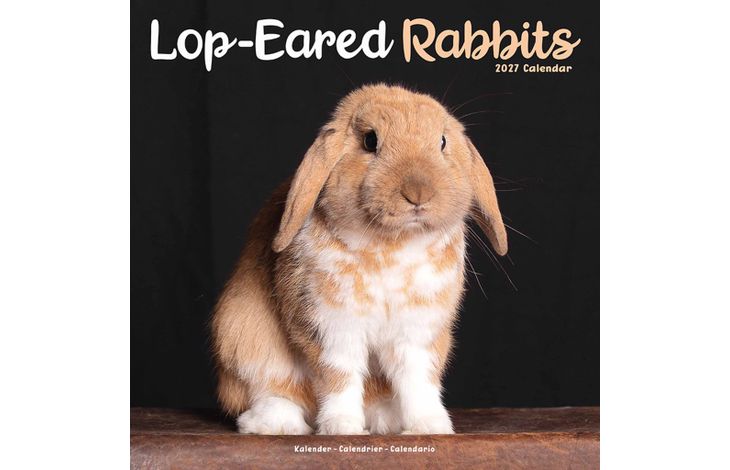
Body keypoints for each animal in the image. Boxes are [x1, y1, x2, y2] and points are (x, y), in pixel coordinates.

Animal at [211, 84, 507, 435]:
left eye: (443, 142)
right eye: (370, 141)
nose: (418, 194)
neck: (392, 244)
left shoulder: (419, 334)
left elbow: (419, 381)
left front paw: (430, 426)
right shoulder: (331, 327)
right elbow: (339, 376)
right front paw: (342, 427)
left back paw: (387, 419)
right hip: (243, 338)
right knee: (275, 390)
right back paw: (277, 423)